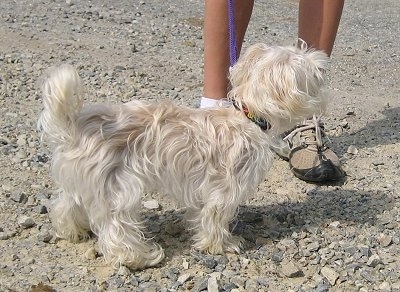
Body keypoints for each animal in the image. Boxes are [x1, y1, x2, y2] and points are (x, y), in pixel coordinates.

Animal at [38, 43, 328, 270]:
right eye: (310, 69)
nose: (324, 62)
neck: (247, 116)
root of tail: (74, 126)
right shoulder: (224, 190)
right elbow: (215, 218)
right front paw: (221, 245)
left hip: (85, 182)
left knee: (65, 205)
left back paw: (74, 231)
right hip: (118, 189)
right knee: (115, 229)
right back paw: (139, 258)